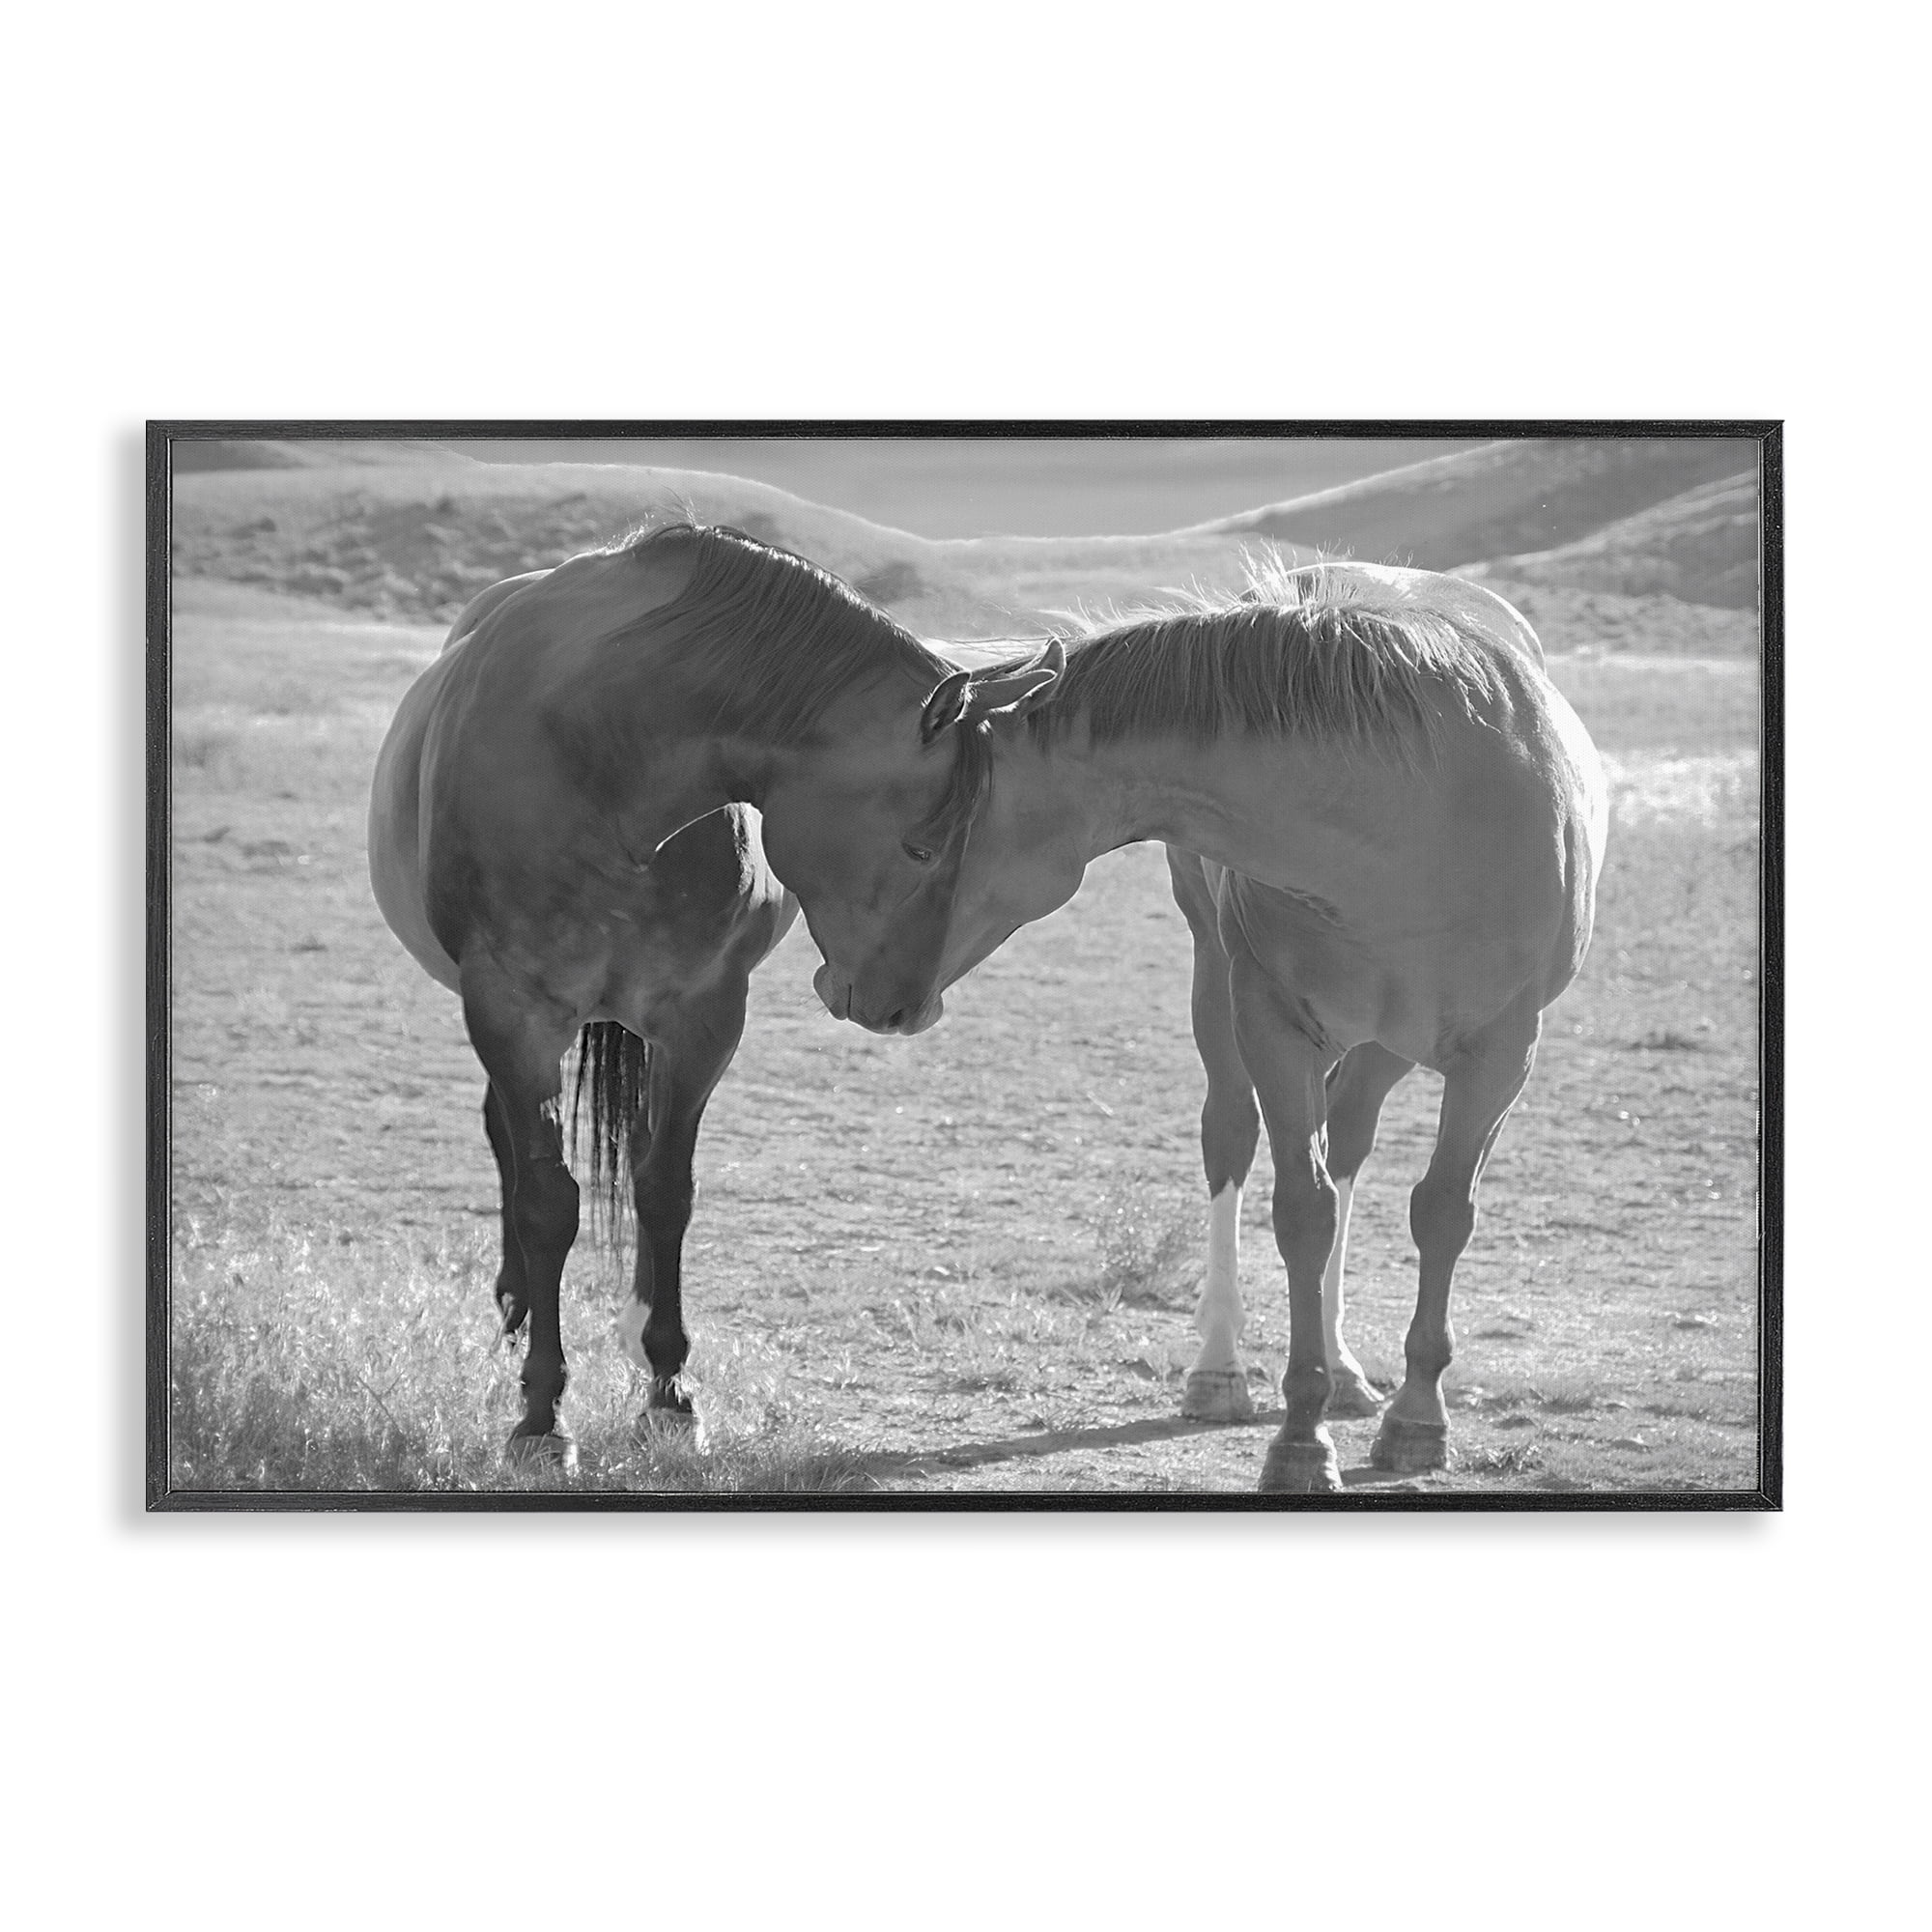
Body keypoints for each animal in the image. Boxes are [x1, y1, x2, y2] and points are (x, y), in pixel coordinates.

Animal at [367, 523, 1060, 1466]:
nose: (907, 1008)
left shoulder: (702, 1017)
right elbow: (548, 1202)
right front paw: (542, 1414)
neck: (601, 758)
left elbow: (666, 1190)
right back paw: (514, 1308)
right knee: (509, 1148)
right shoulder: (511, 1012)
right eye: (922, 846)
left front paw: (668, 1392)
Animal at [843, 559, 1608, 1494]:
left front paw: (1417, 1418)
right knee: (1232, 1141)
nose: (854, 989)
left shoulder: (1501, 1054)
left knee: (1350, 1143)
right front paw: (1300, 1438)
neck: (1417, 816)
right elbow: (1301, 1212)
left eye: (918, 844)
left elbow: (1440, 1214)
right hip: (1220, 986)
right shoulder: (1272, 1025)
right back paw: (1219, 1369)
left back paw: (1349, 1370)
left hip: (1385, 1044)